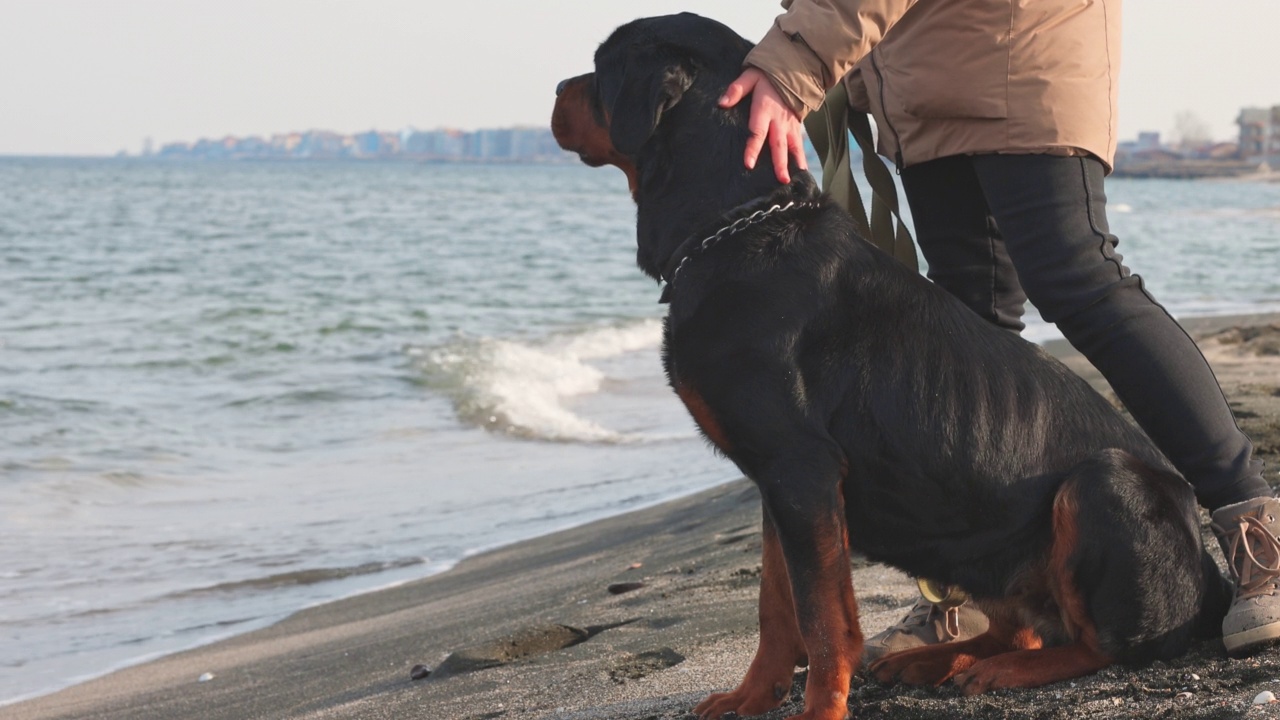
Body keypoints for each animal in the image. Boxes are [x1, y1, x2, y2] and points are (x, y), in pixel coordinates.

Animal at [550, 11, 1228, 717]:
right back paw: (938, 658)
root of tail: (1213, 578)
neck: (737, 225)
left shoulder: (801, 468)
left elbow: (823, 620)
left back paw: (1006, 670)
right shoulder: (778, 480)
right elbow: (776, 607)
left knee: (1098, 643)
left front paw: (820, 708)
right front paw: (753, 695)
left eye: (600, 68)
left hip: (1104, 483)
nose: (555, 91)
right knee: (1021, 627)